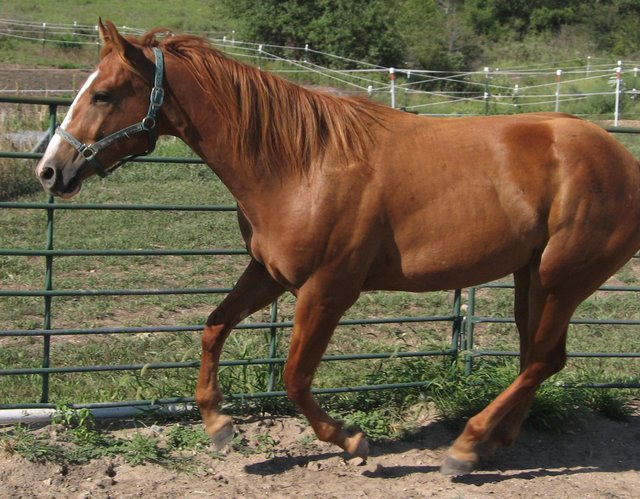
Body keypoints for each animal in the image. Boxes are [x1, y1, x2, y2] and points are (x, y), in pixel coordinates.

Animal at [35, 20, 640, 476]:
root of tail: (623, 159)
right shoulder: (268, 274)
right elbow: (213, 327)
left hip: (563, 279)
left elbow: (294, 376)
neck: (301, 164)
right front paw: (219, 426)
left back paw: (466, 447)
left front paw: (352, 440)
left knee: (540, 358)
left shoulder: (328, 289)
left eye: (103, 94)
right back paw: (495, 442)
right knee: (543, 357)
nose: (49, 170)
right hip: (529, 276)